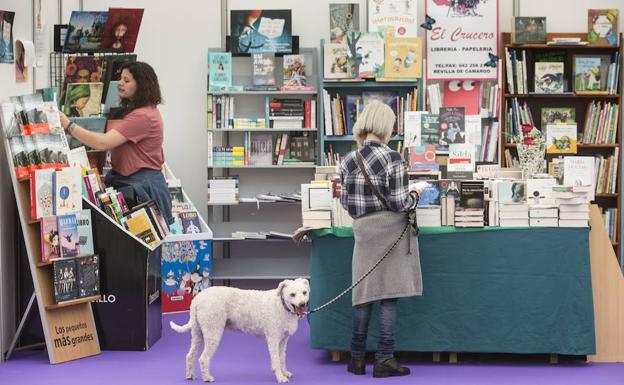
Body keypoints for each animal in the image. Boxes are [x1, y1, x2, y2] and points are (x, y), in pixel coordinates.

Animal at [171, 276, 310, 380]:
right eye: (292, 294)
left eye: (304, 292)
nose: (302, 304)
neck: (281, 305)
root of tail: (197, 299)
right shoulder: (273, 340)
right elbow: (276, 360)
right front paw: (280, 377)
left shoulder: (283, 341)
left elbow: (282, 358)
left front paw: (284, 372)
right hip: (212, 334)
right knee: (203, 359)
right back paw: (207, 378)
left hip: (197, 334)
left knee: (190, 356)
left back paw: (190, 375)